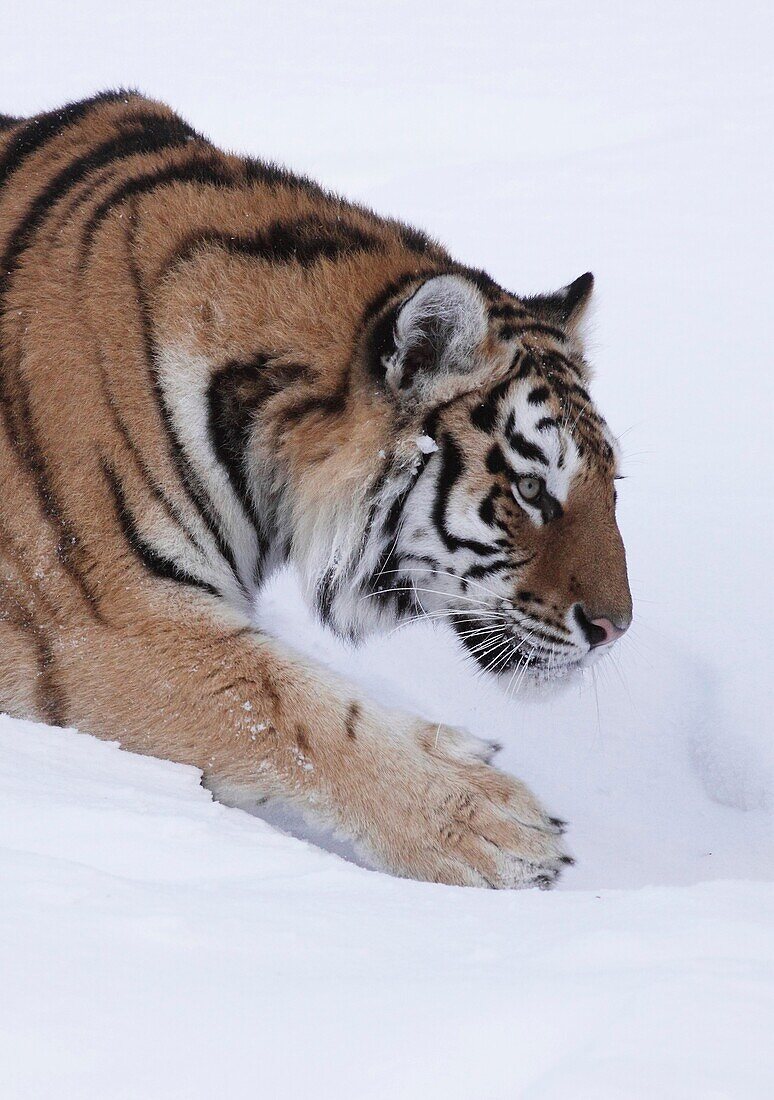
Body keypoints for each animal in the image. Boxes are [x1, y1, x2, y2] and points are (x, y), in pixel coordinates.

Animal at [0, 90, 628, 888]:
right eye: (529, 488)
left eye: (612, 485)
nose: (617, 629)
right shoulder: (101, 624)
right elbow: (289, 709)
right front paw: (494, 828)